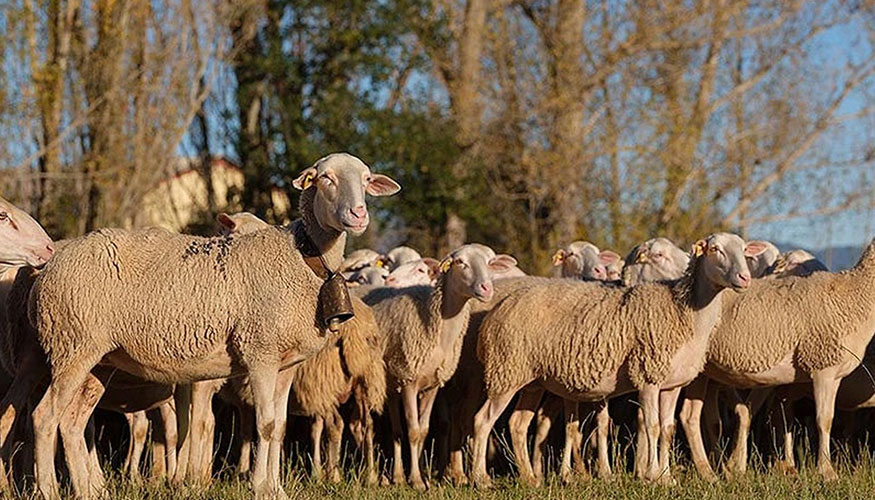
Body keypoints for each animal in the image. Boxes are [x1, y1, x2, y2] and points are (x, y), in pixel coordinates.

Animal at [24, 153, 400, 500]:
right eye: (325, 179)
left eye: (367, 180)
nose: (359, 215)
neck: (302, 256)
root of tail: (47, 269)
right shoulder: (260, 351)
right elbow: (264, 424)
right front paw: (259, 488)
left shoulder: (286, 364)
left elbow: (279, 427)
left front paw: (276, 489)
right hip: (72, 346)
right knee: (45, 417)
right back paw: (49, 490)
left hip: (96, 359)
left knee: (72, 422)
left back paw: (88, 490)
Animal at [360, 244, 516, 490]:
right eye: (460, 262)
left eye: (490, 263)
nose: (486, 288)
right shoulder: (410, 381)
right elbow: (413, 431)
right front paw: (417, 481)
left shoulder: (432, 384)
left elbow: (423, 431)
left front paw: (419, 478)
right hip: (368, 378)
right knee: (368, 427)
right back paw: (372, 477)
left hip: (391, 383)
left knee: (395, 430)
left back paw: (397, 476)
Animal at [468, 234, 756, 488]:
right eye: (715, 249)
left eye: (744, 250)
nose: (745, 278)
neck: (685, 311)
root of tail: (494, 313)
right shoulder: (648, 376)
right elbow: (652, 427)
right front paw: (652, 476)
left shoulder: (672, 384)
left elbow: (667, 429)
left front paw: (667, 478)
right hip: (505, 372)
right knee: (482, 421)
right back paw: (481, 480)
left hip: (530, 381)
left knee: (517, 425)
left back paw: (530, 479)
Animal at [680, 240, 875, 482]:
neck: (854, 296)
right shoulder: (823, 366)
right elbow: (824, 420)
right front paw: (827, 472)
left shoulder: (832, 372)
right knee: (688, 416)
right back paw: (705, 472)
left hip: (709, 373)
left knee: (704, 418)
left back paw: (717, 468)